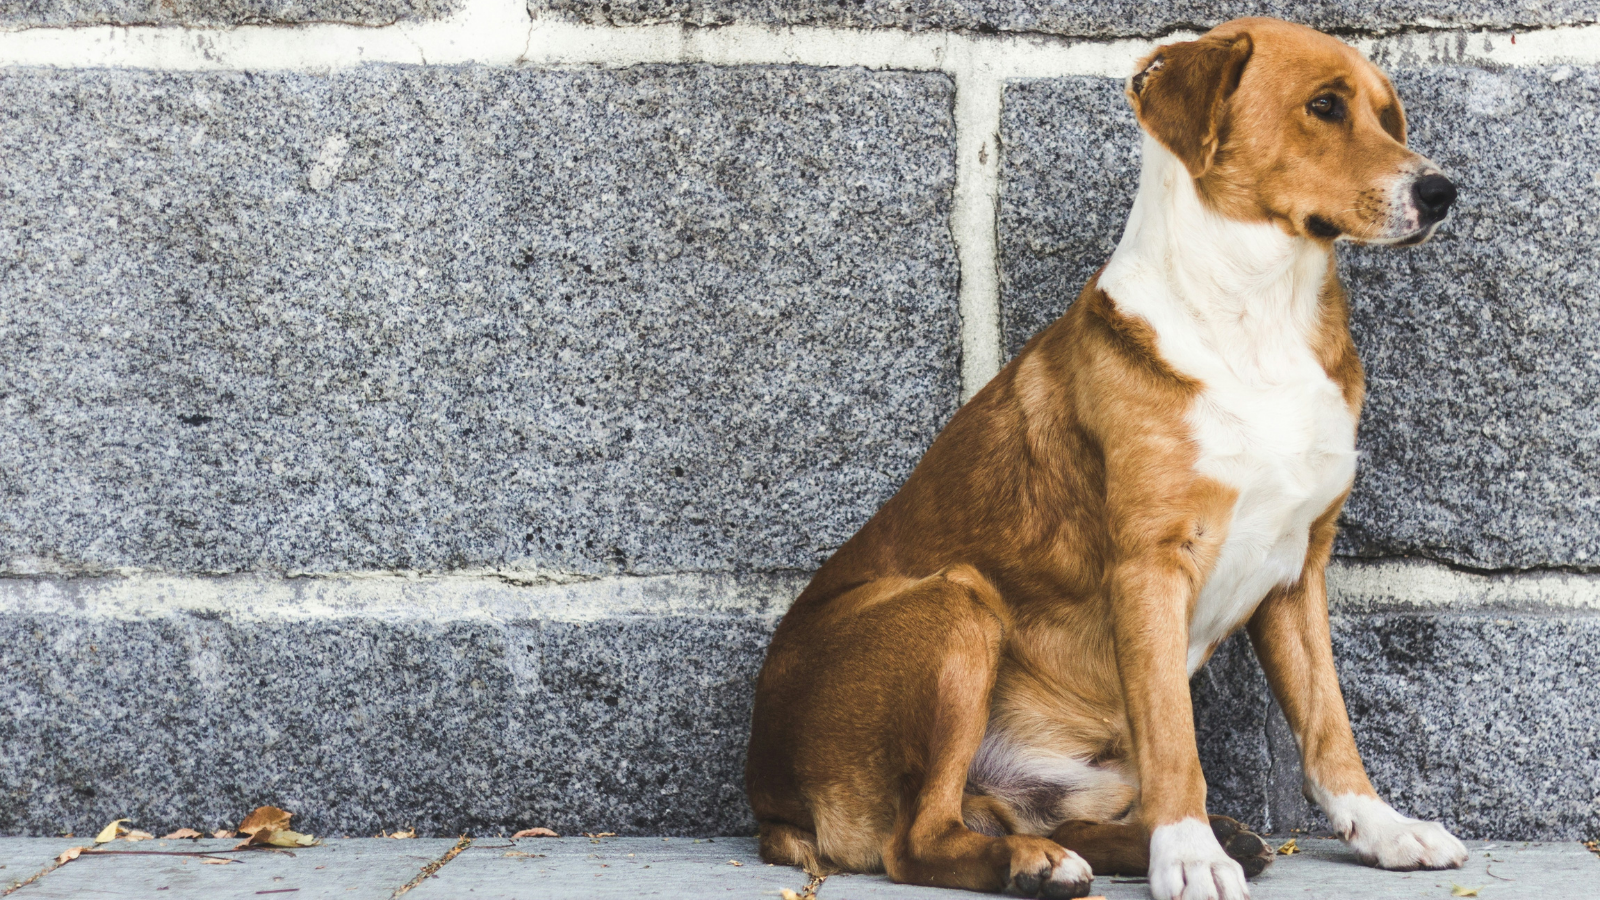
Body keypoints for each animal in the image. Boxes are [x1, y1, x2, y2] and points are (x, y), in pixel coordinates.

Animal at [742, 15, 1465, 896]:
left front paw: (1384, 830)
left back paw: (1192, 841)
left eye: (1389, 117)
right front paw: (1190, 856)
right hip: (957, 605)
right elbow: (1177, 742)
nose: (1442, 192)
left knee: (1054, 812)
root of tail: (770, 799)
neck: (1260, 313)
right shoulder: (1149, 566)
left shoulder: (1300, 570)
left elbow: (1329, 727)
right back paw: (1043, 862)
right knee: (918, 840)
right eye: (1324, 106)